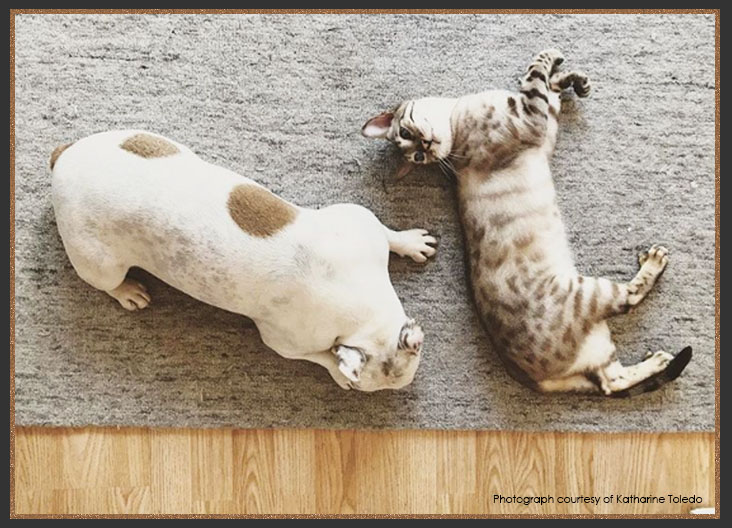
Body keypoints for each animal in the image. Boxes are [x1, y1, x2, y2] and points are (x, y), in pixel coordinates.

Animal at [53, 130, 440, 390]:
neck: (360, 303)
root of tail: (62, 159)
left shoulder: (362, 223)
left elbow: (388, 233)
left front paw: (409, 242)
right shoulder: (282, 341)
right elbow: (320, 356)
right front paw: (336, 371)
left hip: (150, 141)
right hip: (100, 263)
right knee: (107, 282)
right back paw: (128, 292)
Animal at [364, 50, 692, 396]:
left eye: (410, 142)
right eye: (413, 151)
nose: (425, 145)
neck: (455, 119)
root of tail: (538, 381)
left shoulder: (544, 126)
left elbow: (551, 89)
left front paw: (574, 79)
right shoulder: (531, 119)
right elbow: (537, 73)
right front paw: (554, 60)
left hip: (599, 348)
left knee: (611, 381)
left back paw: (657, 360)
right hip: (585, 291)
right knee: (627, 302)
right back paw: (654, 263)